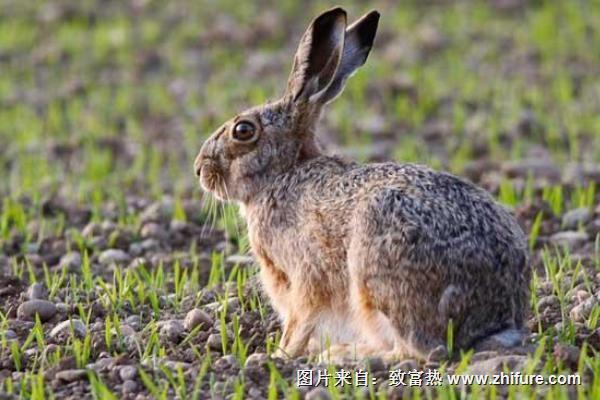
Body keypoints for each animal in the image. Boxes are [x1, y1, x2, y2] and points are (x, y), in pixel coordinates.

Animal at [195, 7, 528, 362]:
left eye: (243, 131)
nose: (199, 169)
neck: (284, 171)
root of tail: (495, 319)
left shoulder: (304, 276)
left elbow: (300, 321)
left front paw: (278, 356)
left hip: (377, 272)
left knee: (422, 349)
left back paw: (346, 355)